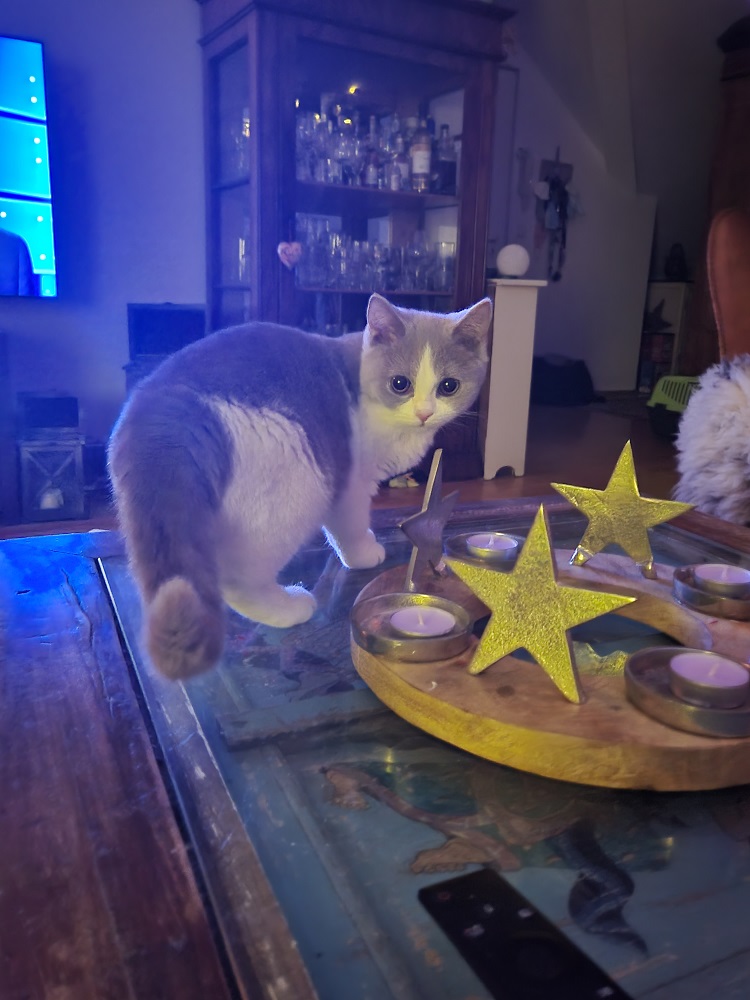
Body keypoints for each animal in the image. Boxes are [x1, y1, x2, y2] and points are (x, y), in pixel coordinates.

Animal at [108, 292, 492, 679]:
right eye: (400, 384)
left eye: (449, 386)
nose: (424, 413)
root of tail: (166, 412)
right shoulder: (350, 481)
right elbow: (350, 527)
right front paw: (364, 553)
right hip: (300, 482)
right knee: (237, 579)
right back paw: (289, 607)